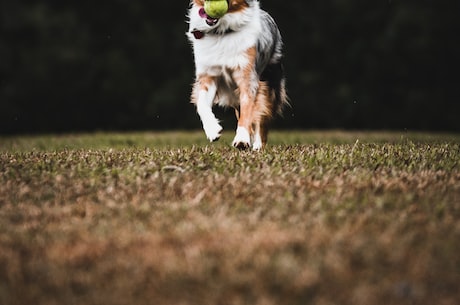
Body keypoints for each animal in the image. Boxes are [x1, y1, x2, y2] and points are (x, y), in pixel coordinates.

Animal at [185, 0, 286, 150]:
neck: (222, 32)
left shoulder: (248, 78)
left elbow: (248, 111)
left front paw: (242, 139)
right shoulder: (208, 75)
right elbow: (202, 104)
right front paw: (213, 130)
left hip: (270, 82)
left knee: (261, 116)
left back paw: (258, 145)